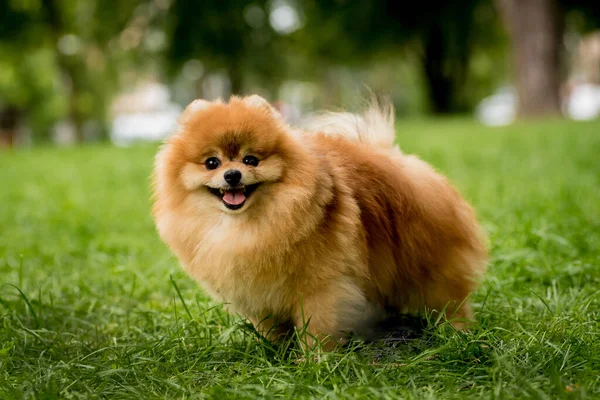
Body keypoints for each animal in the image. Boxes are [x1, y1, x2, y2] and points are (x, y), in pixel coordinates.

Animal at [150, 94, 488, 350]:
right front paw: (276, 353)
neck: (250, 226)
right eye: (212, 163)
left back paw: (456, 332)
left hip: (429, 265)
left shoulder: (321, 287)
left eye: (250, 160)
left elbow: (316, 329)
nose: (232, 175)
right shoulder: (257, 295)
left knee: (450, 299)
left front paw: (314, 361)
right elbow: (272, 329)